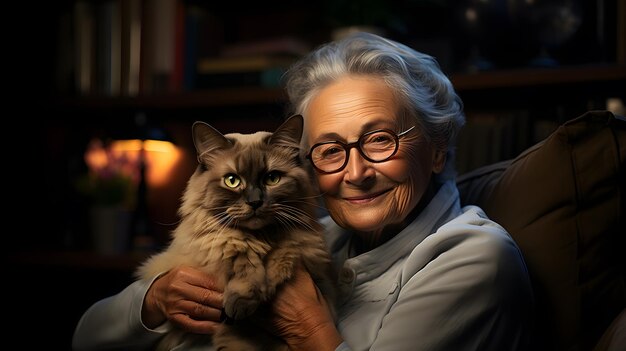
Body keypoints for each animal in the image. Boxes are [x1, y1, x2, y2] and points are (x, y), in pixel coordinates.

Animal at [135, 114, 334, 350]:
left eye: (272, 178)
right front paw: (243, 298)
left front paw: (263, 288)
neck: (261, 237)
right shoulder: (216, 242)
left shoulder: (303, 244)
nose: (255, 202)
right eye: (232, 181)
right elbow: (240, 257)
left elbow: (283, 253)